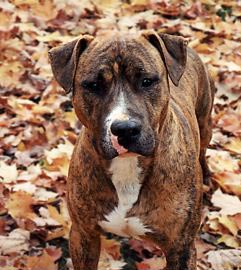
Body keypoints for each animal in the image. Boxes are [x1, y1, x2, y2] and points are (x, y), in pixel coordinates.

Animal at [49, 30, 215, 268]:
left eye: (147, 81)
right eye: (93, 85)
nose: (125, 129)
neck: (127, 166)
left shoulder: (181, 248)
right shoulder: (83, 235)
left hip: (205, 122)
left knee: (203, 149)